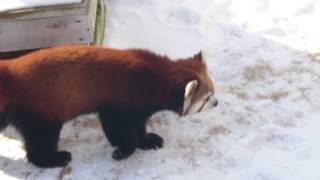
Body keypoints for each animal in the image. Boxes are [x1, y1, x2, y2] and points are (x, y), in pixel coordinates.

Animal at [0, 45, 218, 167]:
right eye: (206, 99)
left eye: (213, 92)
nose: (216, 103)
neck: (155, 78)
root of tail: (10, 70)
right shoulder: (119, 103)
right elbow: (119, 129)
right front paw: (124, 151)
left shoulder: (138, 108)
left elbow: (138, 126)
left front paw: (147, 140)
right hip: (39, 110)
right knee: (41, 140)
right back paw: (55, 159)